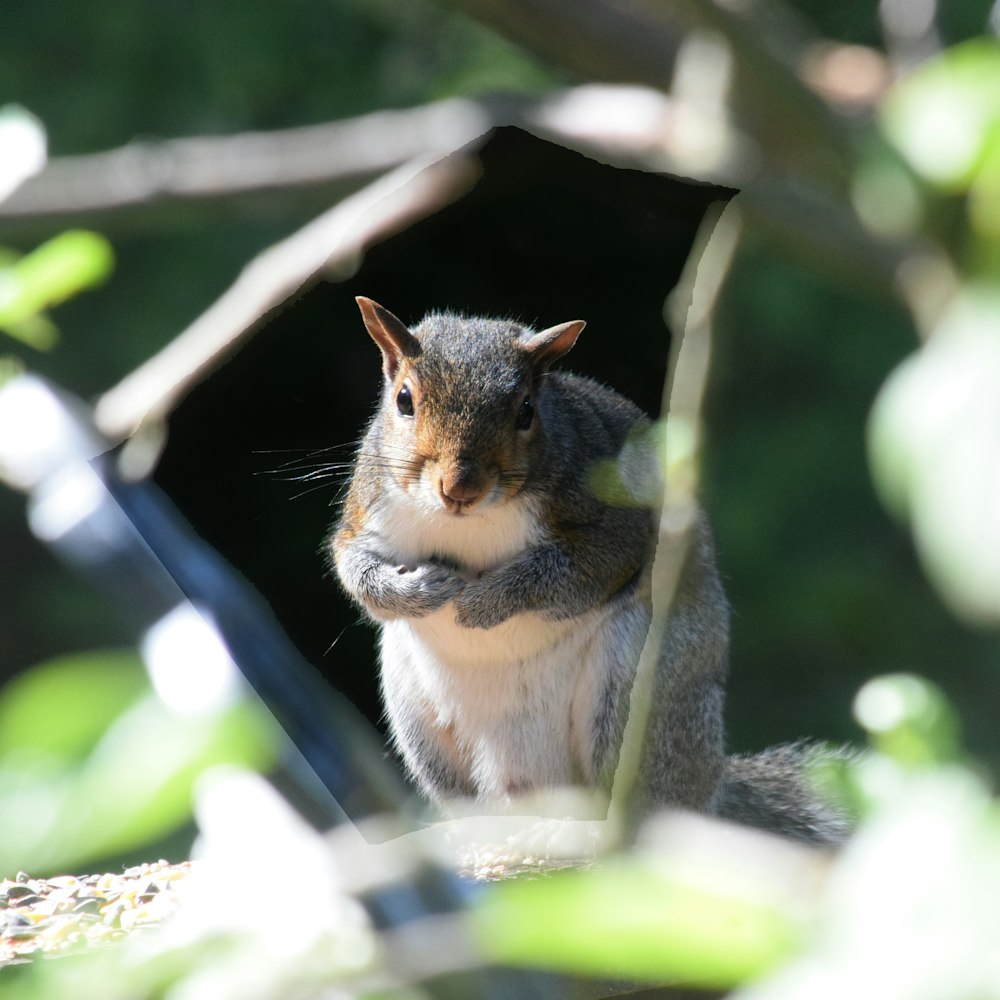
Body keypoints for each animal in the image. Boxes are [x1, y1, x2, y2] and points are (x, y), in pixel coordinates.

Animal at [332, 294, 848, 844]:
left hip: (639, 696)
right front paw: (418, 589)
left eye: (526, 411)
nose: (459, 488)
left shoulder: (620, 524)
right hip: (418, 719)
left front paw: (484, 603)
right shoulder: (366, 513)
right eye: (404, 400)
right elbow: (354, 568)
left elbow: (578, 572)